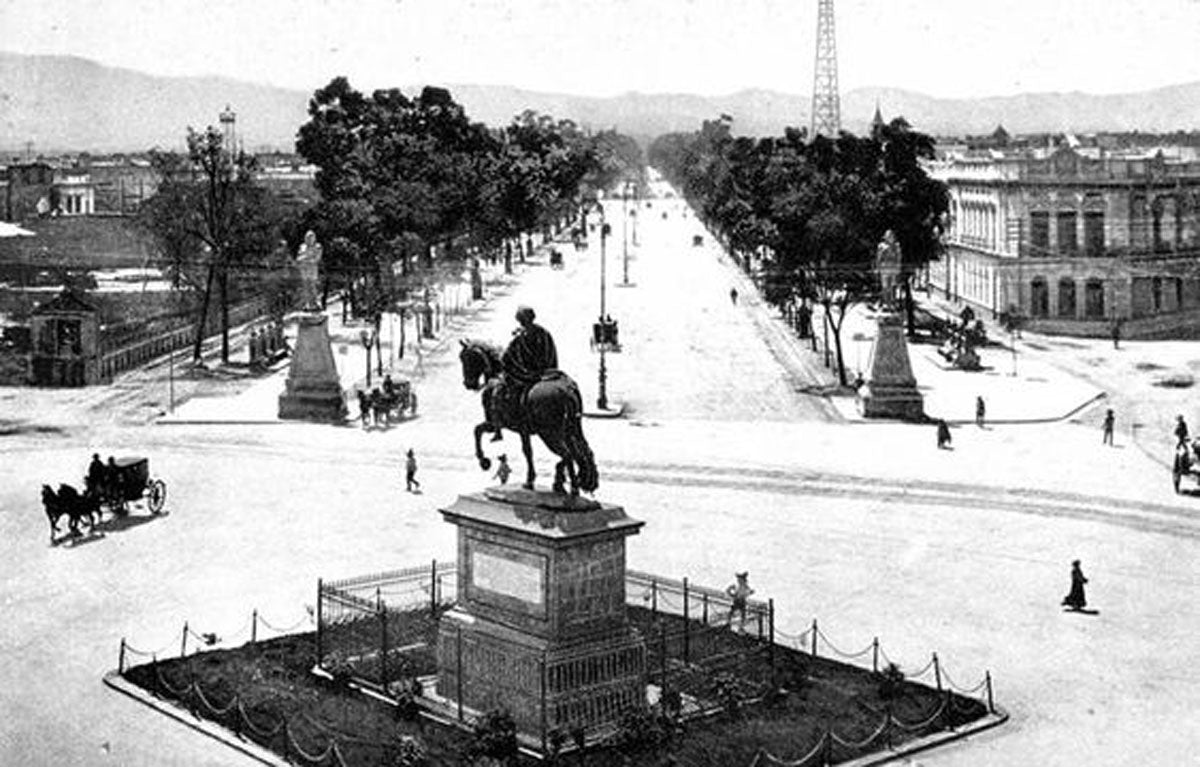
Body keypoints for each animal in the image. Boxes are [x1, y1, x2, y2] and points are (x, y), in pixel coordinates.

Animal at [456, 338, 597, 494]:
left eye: (467, 358)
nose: (468, 383)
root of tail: (567, 390)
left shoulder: (495, 423)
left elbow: (478, 431)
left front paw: (484, 461)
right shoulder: (523, 430)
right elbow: (527, 451)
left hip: (548, 434)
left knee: (567, 454)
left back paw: (572, 487)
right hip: (570, 429)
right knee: (581, 451)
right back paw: (573, 483)